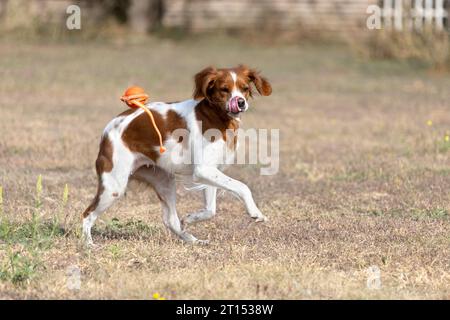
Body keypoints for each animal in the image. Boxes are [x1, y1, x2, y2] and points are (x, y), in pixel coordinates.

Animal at [81, 65, 270, 245]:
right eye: (224, 89)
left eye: (245, 88)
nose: (240, 102)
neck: (216, 117)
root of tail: (108, 130)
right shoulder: (203, 170)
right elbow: (242, 187)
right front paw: (255, 212)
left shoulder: (210, 170)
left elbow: (210, 210)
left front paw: (190, 218)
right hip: (114, 187)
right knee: (87, 214)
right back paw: (88, 245)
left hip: (164, 181)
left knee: (171, 221)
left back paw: (194, 241)